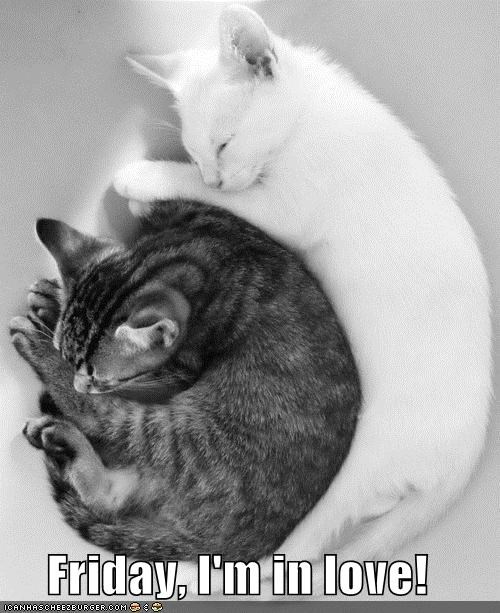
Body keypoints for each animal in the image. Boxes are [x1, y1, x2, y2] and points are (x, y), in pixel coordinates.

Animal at [9, 198, 361, 561]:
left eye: (96, 377)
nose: (79, 382)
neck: (185, 251)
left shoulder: (177, 373)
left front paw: (50, 325)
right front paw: (53, 300)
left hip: (179, 433)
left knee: (108, 425)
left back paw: (43, 369)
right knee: (110, 501)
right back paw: (62, 442)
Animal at [113, 3, 492, 575]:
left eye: (223, 145)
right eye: (197, 153)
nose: (216, 177)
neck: (310, 114)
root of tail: (463, 463)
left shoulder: (283, 207)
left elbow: (225, 200)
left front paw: (143, 179)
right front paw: (164, 191)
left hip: (368, 450)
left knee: (320, 531)